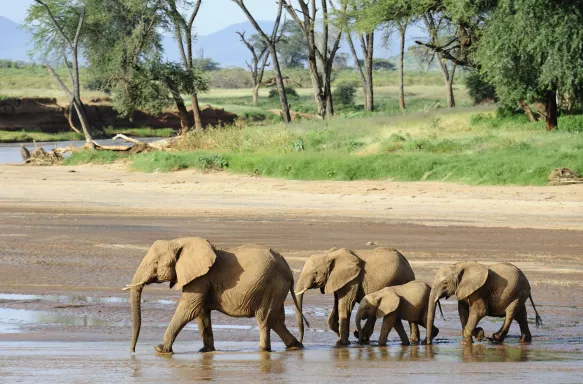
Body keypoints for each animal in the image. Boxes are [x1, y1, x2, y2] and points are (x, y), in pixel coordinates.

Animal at [122, 237, 306, 354]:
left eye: (156, 263)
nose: (132, 351)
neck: (180, 241)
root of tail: (288, 268)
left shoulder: (200, 278)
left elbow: (188, 310)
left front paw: (160, 349)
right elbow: (201, 313)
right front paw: (205, 351)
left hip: (270, 285)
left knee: (264, 318)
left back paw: (263, 350)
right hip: (277, 287)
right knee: (276, 319)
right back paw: (295, 347)